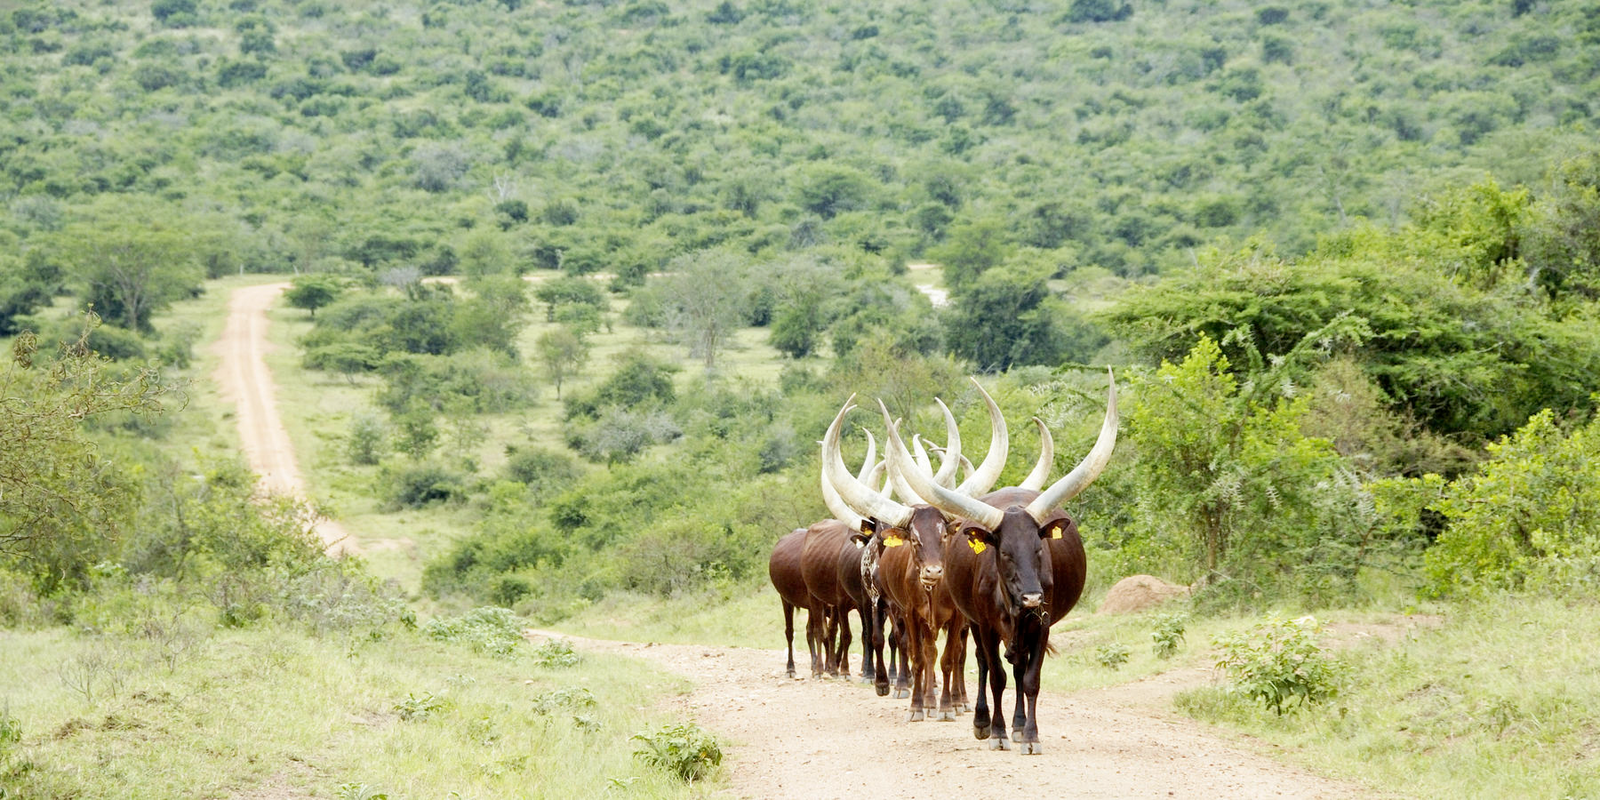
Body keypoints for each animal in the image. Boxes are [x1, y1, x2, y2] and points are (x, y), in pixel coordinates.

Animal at [896, 371, 1120, 752]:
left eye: (1039, 550)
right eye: (1004, 553)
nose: (1031, 597)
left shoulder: (1041, 625)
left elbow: (1030, 679)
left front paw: (1028, 735)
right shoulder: (984, 625)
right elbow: (996, 676)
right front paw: (997, 732)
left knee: (1018, 668)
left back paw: (1016, 724)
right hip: (973, 622)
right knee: (985, 666)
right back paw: (984, 722)